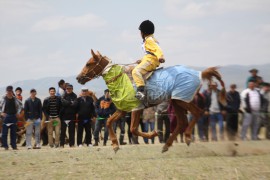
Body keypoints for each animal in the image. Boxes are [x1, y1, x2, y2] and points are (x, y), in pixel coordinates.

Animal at [76, 50, 226, 153]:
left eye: (88, 63)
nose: (78, 78)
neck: (122, 79)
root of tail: (199, 73)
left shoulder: (137, 108)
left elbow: (133, 129)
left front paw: (154, 133)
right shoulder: (124, 109)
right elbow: (109, 121)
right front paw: (114, 144)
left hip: (183, 100)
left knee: (197, 113)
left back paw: (187, 137)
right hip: (176, 102)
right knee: (182, 122)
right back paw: (167, 145)